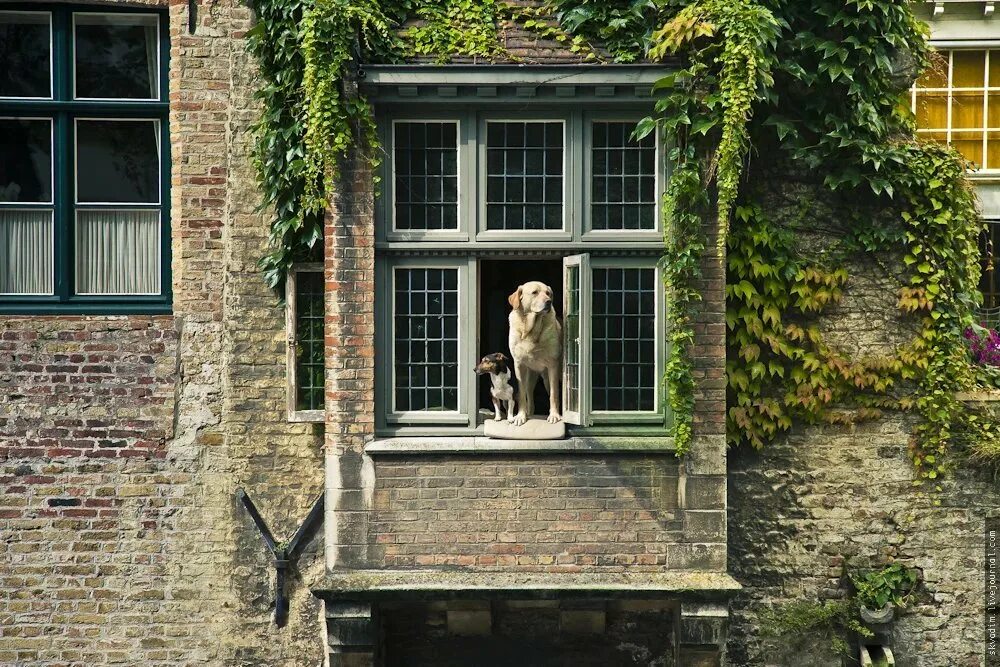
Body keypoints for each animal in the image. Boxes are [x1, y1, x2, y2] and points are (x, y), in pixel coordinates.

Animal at [508, 280, 564, 426]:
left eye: (548, 293)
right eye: (534, 293)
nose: (549, 302)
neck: (531, 330)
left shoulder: (552, 365)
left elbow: (554, 394)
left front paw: (554, 415)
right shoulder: (519, 365)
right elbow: (522, 394)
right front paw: (520, 416)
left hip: (550, 376)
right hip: (531, 375)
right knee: (529, 393)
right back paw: (529, 413)